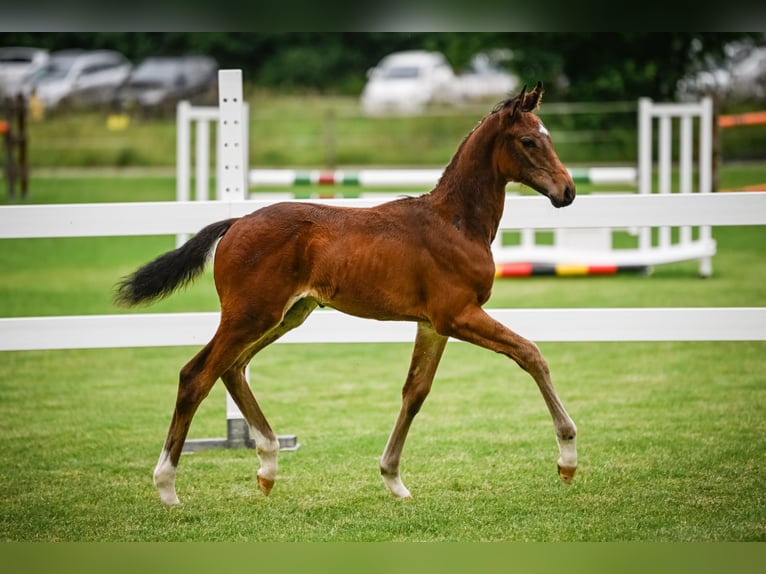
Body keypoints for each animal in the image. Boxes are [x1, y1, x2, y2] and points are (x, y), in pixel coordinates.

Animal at [117, 83, 580, 506]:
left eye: (548, 136)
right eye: (529, 141)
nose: (568, 191)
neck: (456, 222)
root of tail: (236, 223)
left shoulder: (433, 325)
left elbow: (415, 392)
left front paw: (393, 479)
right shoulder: (458, 314)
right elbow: (530, 354)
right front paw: (567, 459)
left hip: (287, 314)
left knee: (232, 369)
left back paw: (267, 465)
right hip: (251, 314)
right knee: (196, 376)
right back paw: (168, 487)